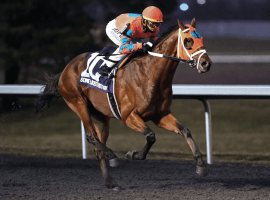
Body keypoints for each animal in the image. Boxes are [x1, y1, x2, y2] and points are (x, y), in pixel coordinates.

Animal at [35, 19, 212, 191]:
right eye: (188, 41)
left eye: (202, 39)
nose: (206, 64)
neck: (150, 75)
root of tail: (65, 70)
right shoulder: (128, 116)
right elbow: (151, 136)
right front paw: (134, 154)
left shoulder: (161, 115)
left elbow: (185, 130)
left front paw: (201, 166)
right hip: (78, 104)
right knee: (91, 137)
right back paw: (112, 156)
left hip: (101, 116)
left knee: (98, 147)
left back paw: (110, 182)